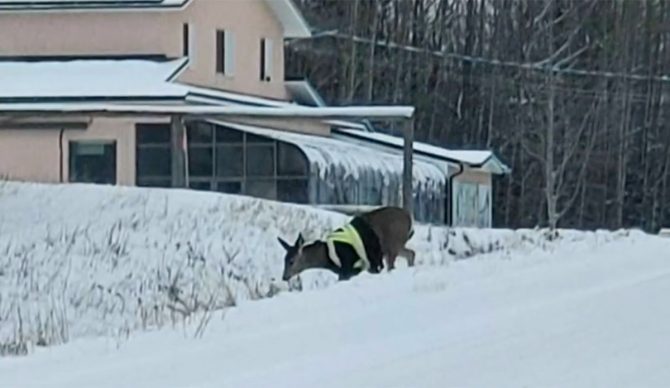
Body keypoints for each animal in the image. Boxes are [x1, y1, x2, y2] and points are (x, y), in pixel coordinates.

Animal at [276, 208, 414, 280]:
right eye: (284, 259)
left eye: (291, 261)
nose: (284, 277)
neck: (326, 257)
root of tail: (409, 218)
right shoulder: (348, 271)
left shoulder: (349, 266)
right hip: (395, 246)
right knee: (411, 253)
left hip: (393, 243)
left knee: (393, 265)